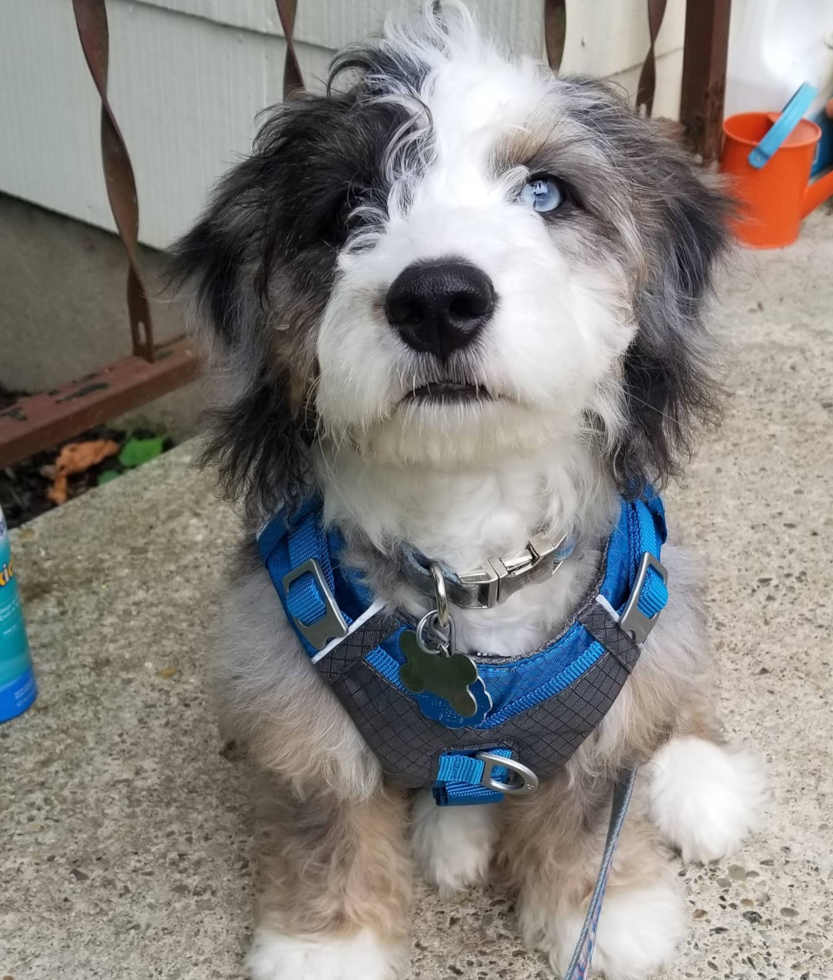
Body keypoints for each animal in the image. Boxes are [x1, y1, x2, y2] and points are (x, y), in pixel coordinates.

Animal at [171, 3, 768, 976]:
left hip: (669, 584)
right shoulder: (287, 683)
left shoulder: (603, 706)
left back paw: (698, 781)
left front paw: (609, 911)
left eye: (545, 194)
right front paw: (326, 948)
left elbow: (588, 805)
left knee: (671, 689)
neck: (468, 558)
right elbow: (329, 827)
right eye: (347, 210)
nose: (437, 299)